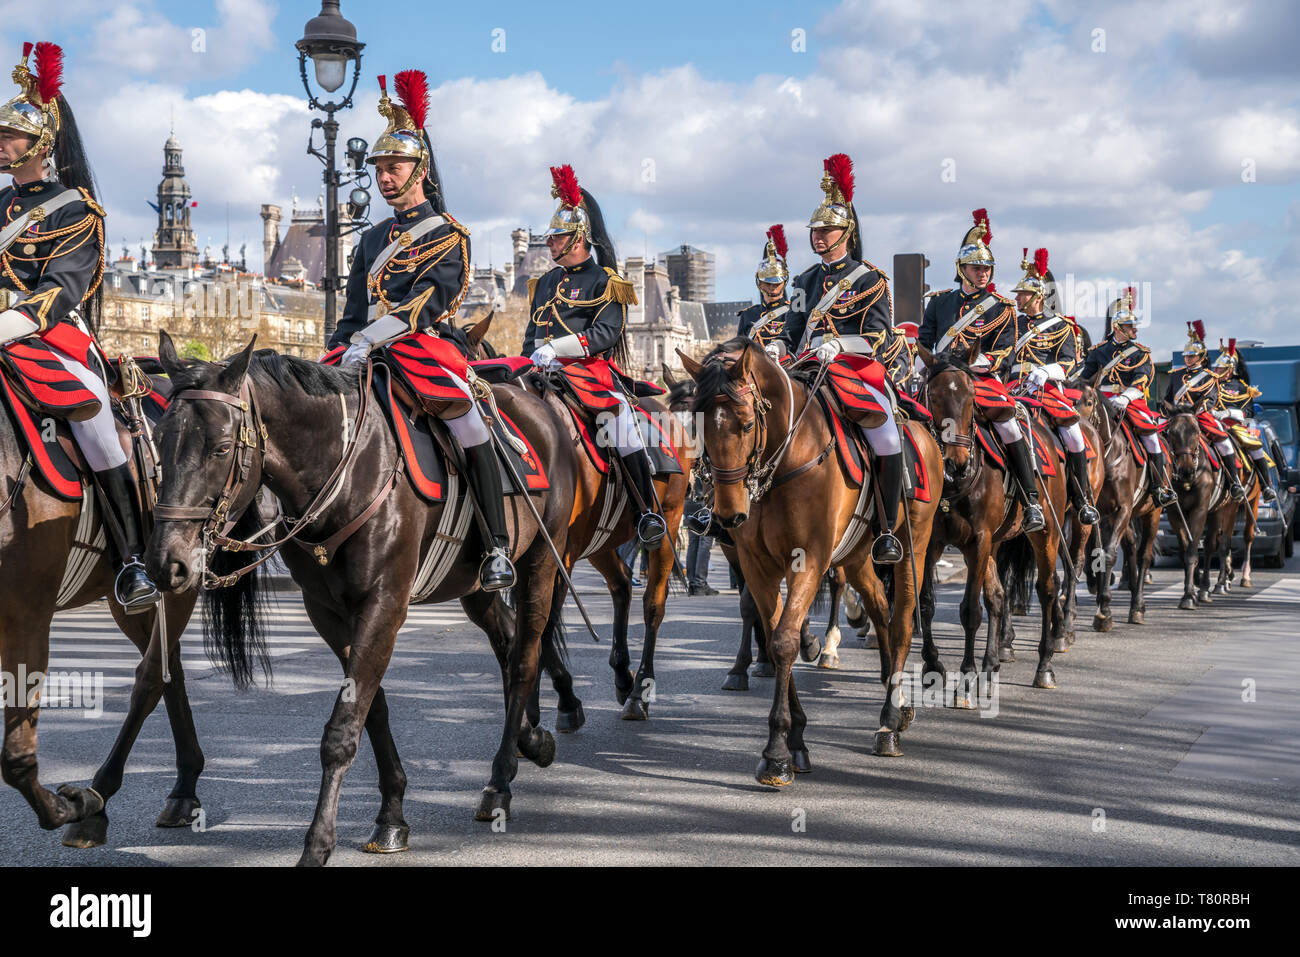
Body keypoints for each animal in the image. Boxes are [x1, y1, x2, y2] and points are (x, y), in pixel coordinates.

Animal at [0, 372, 201, 848]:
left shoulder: (26, 616)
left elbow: (16, 756)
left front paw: (65, 807)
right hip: (129, 603)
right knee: (169, 669)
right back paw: (182, 790)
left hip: (176, 582)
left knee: (151, 679)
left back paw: (96, 798)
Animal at [148, 332, 576, 866]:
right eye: (159, 442)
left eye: (222, 447)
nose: (167, 563)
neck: (346, 470)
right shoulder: (329, 612)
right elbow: (371, 707)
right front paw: (391, 815)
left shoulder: (384, 604)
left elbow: (342, 728)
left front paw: (317, 845)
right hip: (473, 587)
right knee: (508, 642)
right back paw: (528, 740)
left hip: (540, 563)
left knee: (524, 658)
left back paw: (500, 782)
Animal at [682, 338, 943, 782]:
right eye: (697, 427)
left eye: (746, 425)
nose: (728, 515)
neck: (786, 459)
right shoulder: (757, 566)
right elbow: (774, 637)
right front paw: (797, 742)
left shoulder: (811, 560)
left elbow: (786, 640)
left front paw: (776, 752)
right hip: (856, 554)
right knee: (879, 606)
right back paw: (895, 702)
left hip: (915, 547)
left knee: (903, 619)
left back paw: (890, 721)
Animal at [916, 352, 1071, 695]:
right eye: (934, 397)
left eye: (972, 397)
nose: (956, 464)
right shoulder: (933, 543)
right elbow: (928, 603)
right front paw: (933, 665)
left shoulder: (978, 542)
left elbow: (970, 611)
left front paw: (967, 673)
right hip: (996, 542)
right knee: (998, 597)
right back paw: (992, 662)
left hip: (1045, 534)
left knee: (1047, 588)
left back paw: (1044, 665)